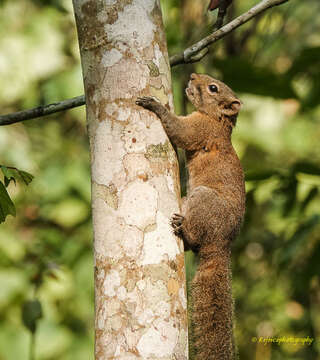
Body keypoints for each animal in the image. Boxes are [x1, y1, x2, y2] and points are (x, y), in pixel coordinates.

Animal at [136, 74, 245, 360]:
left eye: (213, 88)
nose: (194, 76)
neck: (218, 120)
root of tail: (221, 245)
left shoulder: (200, 128)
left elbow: (179, 130)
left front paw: (155, 105)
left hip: (202, 199)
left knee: (195, 239)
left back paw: (184, 230)